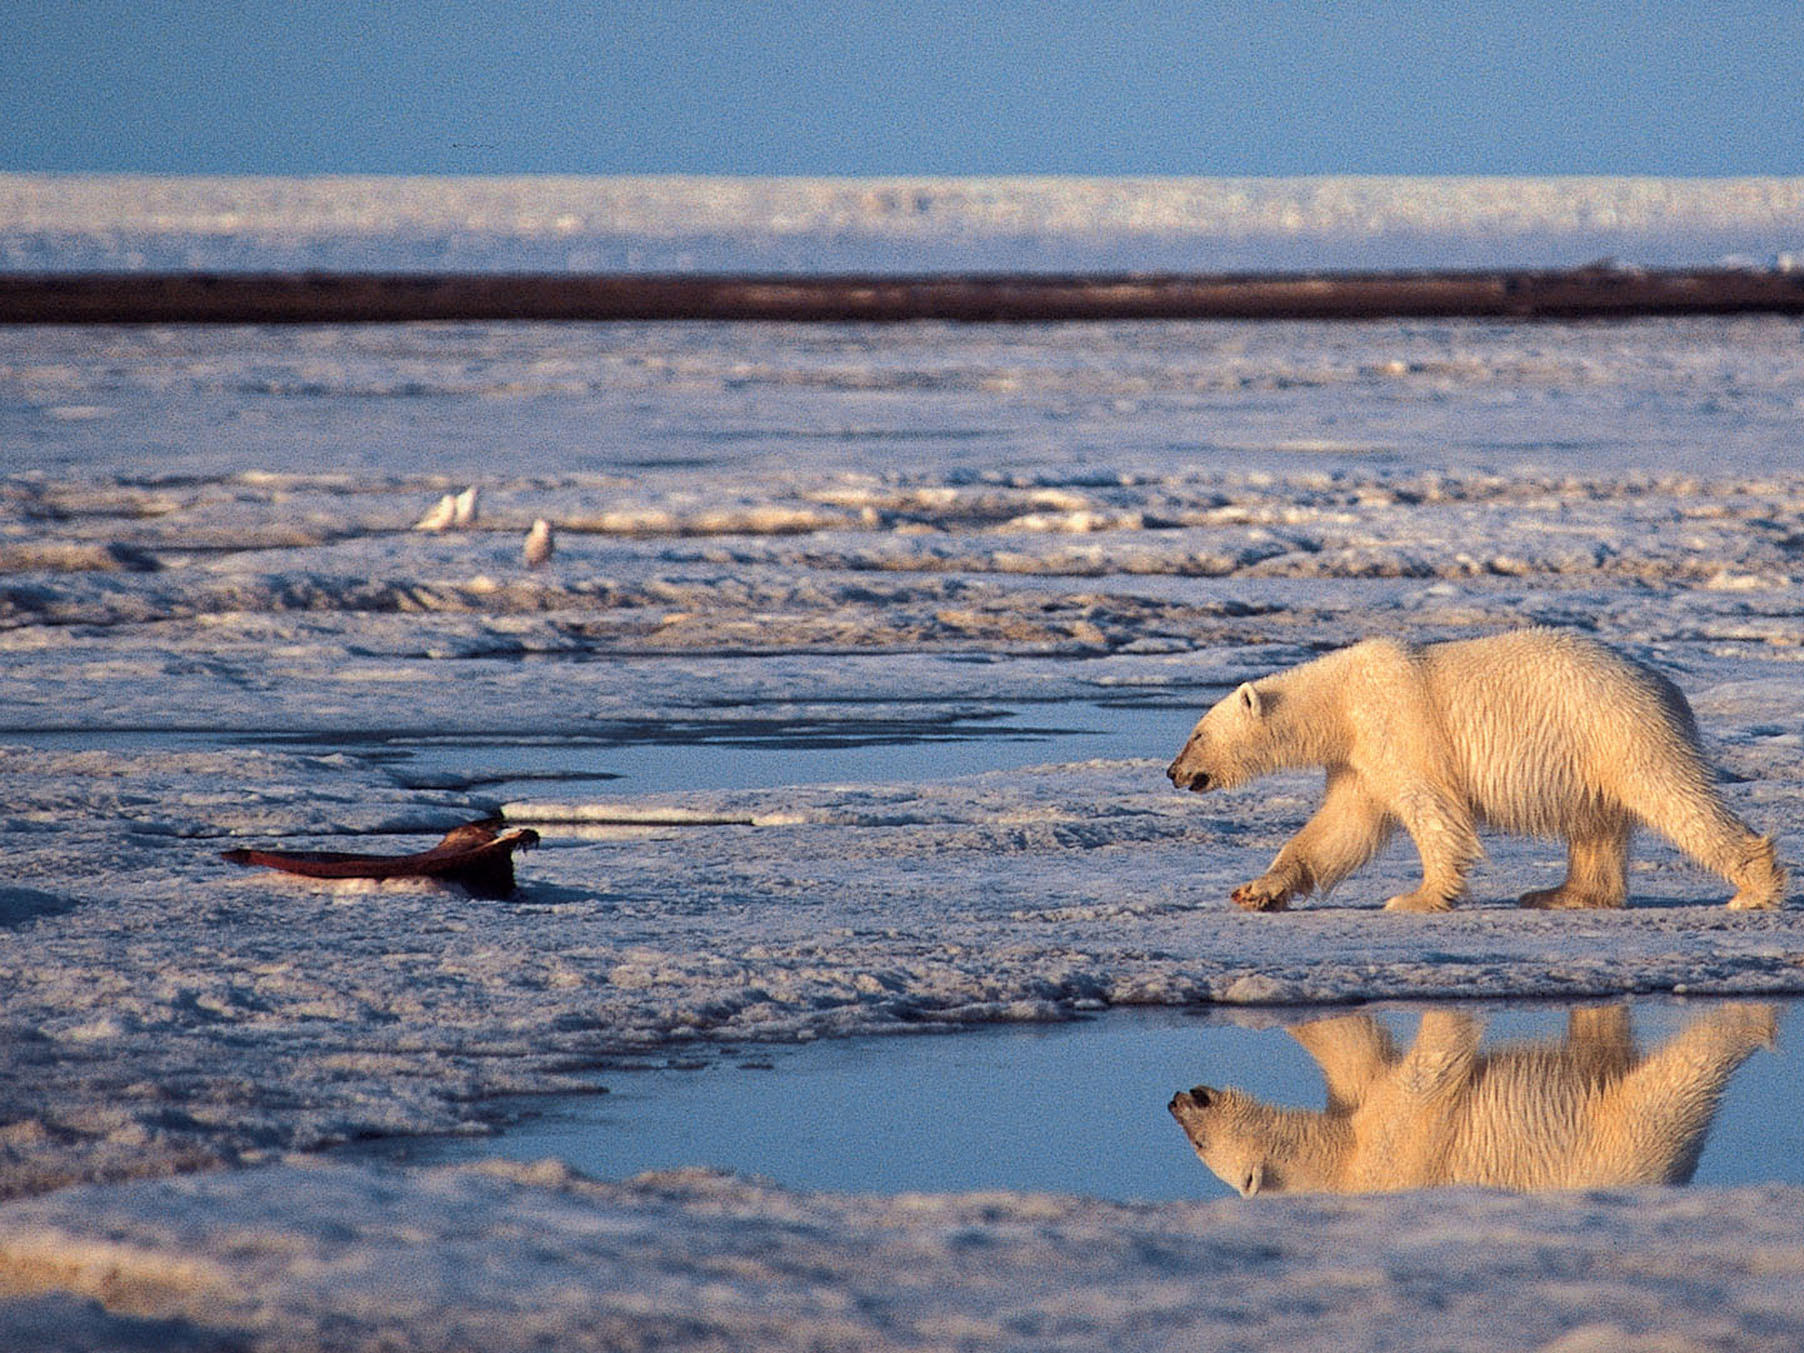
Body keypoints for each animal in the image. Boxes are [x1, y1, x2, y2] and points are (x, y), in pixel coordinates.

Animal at [1161, 635, 1782, 912]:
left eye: (1197, 733)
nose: (1173, 771)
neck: (1340, 699)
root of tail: (1669, 687)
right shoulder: (1359, 760)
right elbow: (1341, 828)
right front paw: (1255, 889)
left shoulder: (1397, 726)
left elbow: (1430, 809)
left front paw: (1416, 898)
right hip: (1593, 752)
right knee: (1595, 824)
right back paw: (1561, 893)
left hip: (1617, 729)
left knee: (1674, 796)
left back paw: (1754, 888)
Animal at [1168, 1010, 1775, 1197]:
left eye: (1199, 1144)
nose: (1176, 1099)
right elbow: (1354, 1058)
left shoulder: (1401, 1144)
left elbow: (1423, 1078)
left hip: (1621, 1134)